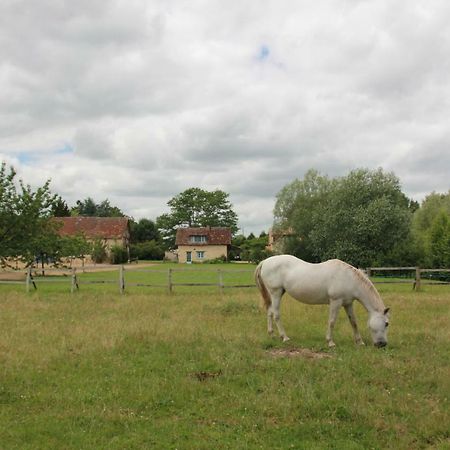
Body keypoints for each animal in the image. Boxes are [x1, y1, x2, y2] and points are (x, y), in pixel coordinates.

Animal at [255, 255, 388, 346]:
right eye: (387, 323)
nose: (382, 344)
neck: (348, 278)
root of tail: (265, 262)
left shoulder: (348, 303)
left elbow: (353, 322)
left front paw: (360, 342)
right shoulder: (336, 302)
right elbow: (332, 321)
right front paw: (330, 342)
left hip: (276, 294)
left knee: (270, 312)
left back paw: (272, 335)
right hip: (276, 293)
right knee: (276, 314)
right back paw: (285, 337)